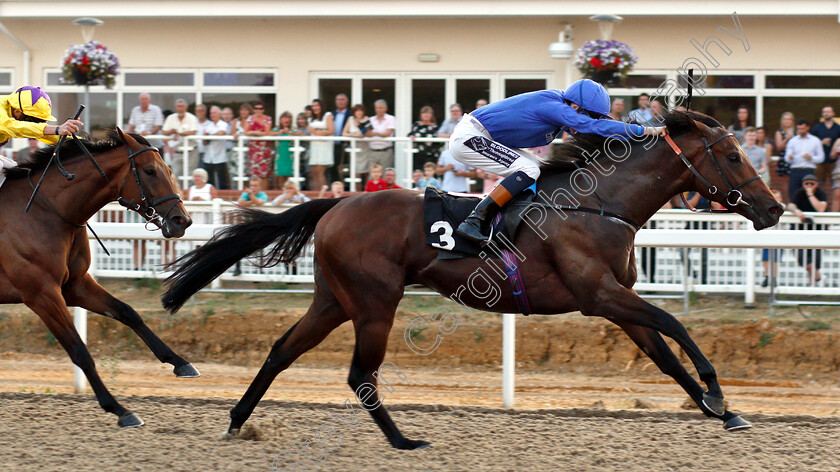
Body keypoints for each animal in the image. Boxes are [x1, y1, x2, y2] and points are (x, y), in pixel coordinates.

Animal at [2, 129, 195, 428]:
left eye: (170, 170)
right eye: (150, 171)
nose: (181, 221)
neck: (43, 211)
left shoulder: (75, 285)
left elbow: (128, 313)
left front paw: (179, 361)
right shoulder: (42, 295)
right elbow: (79, 350)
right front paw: (120, 409)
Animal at [162, 111, 780, 450]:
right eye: (731, 155)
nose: (774, 209)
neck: (599, 203)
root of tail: (337, 203)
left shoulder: (614, 300)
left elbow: (665, 355)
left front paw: (721, 410)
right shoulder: (600, 295)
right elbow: (675, 323)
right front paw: (718, 393)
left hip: (333, 301)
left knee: (281, 350)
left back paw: (237, 421)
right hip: (374, 302)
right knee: (361, 374)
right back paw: (403, 440)